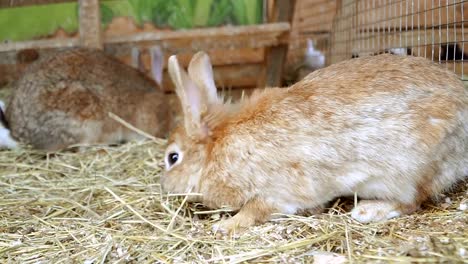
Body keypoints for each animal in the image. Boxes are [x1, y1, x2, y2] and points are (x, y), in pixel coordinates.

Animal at [161, 51, 468, 235]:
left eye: (172, 158)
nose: (164, 186)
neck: (216, 146)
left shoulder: (273, 194)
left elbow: (253, 211)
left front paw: (225, 226)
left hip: (407, 173)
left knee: (413, 201)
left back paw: (368, 210)